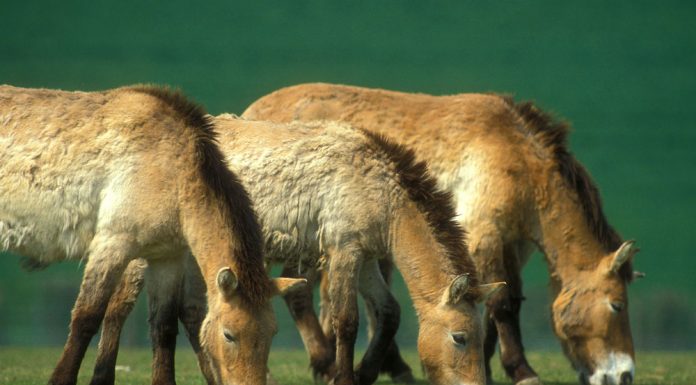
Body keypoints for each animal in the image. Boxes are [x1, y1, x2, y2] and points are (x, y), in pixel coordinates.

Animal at [0, 85, 304, 384]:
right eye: (229, 334)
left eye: (273, 332)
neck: (173, 175)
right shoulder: (112, 243)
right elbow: (86, 317)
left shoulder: (166, 257)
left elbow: (164, 325)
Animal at [92, 116, 506, 384]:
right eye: (460, 338)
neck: (380, 190)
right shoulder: (344, 251)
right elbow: (346, 320)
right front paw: (343, 377)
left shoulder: (366, 257)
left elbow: (389, 313)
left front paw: (365, 373)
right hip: (150, 252)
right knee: (119, 307)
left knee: (193, 315)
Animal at [243, 83, 640, 384]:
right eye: (617, 305)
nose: (624, 375)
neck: (516, 157)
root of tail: (252, 111)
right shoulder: (484, 237)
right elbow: (502, 304)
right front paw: (522, 371)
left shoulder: (513, 245)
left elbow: (500, 303)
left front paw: (488, 366)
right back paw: (329, 365)